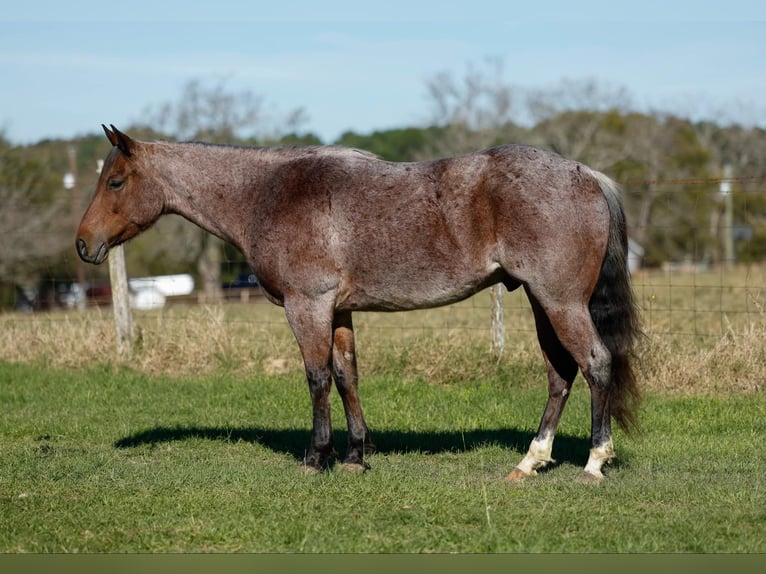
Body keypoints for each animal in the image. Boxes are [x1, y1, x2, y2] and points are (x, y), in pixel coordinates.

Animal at [76, 125, 640, 482]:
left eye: (116, 181)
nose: (83, 245)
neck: (268, 193)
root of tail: (588, 175)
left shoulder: (306, 306)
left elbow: (318, 377)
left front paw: (316, 456)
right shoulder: (339, 310)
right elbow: (347, 376)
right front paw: (356, 455)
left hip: (560, 302)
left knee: (595, 363)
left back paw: (594, 462)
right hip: (544, 304)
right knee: (560, 374)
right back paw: (530, 461)